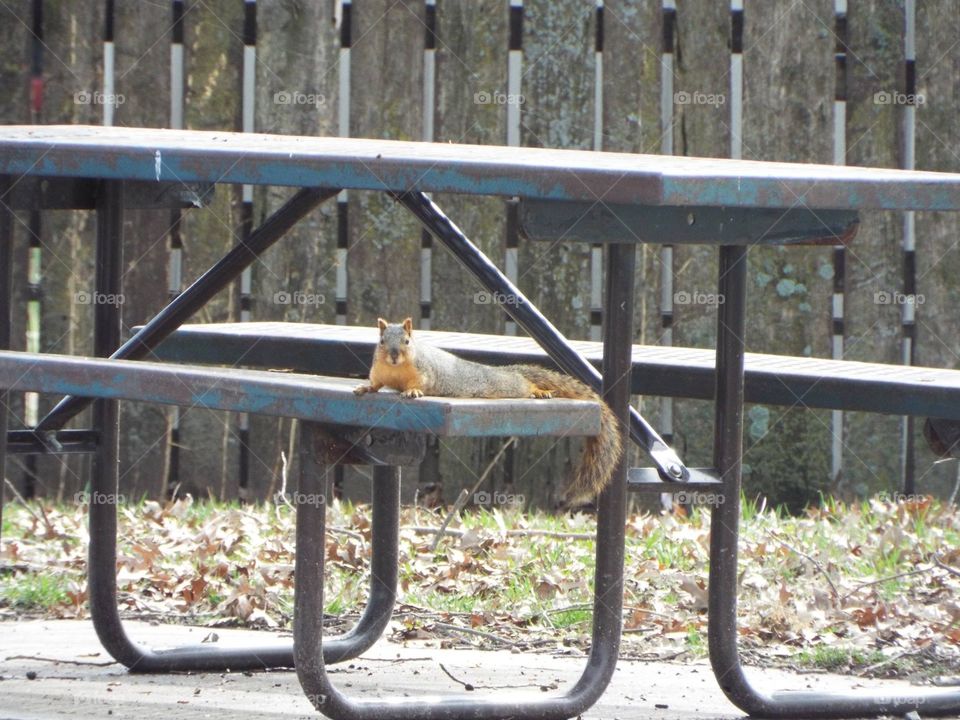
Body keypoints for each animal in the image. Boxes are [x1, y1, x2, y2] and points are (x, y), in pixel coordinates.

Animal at [354, 317, 623, 502]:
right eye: (381, 342)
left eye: (407, 341)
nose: (394, 355)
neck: (396, 370)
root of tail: (504, 372)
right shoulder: (379, 372)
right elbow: (375, 383)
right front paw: (365, 388)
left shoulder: (424, 373)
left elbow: (418, 384)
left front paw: (412, 392)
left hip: (511, 386)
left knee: (525, 385)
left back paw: (539, 391)